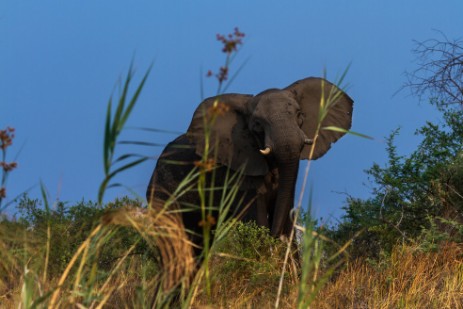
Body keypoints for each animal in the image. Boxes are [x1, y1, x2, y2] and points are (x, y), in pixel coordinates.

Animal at [147, 76, 354, 255]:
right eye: (257, 124)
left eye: (299, 115)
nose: (275, 238)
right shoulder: (238, 171)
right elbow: (258, 217)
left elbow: (286, 211)